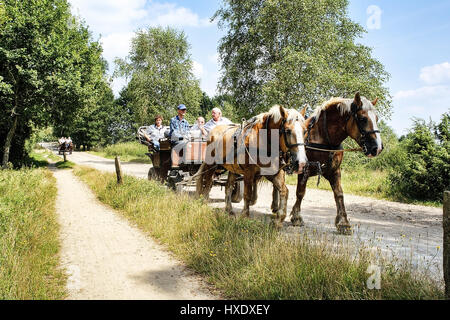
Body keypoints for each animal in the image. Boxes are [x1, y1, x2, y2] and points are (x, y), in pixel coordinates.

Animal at [270, 91, 384, 234]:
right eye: (363, 119)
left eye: (377, 118)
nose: (377, 148)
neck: (323, 138)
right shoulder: (304, 169)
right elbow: (300, 192)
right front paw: (296, 217)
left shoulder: (334, 171)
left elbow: (339, 194)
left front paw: (343, 223)